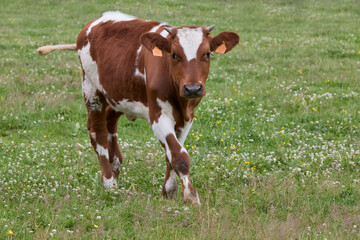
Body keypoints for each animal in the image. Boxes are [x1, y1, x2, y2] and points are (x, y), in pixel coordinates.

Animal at [38, 10, 239, 203]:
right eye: (174, 54)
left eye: (207, 54)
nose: (193, 88)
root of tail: (94, 22)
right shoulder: (158, 116)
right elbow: (179, 155)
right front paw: (190, 196)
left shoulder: (187, 117)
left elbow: (172, 153)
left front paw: (169, 191)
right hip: (91, 89)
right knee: (98, 133)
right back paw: (109, 182)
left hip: (118, 96)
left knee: (109, 123)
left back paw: (115, 166)